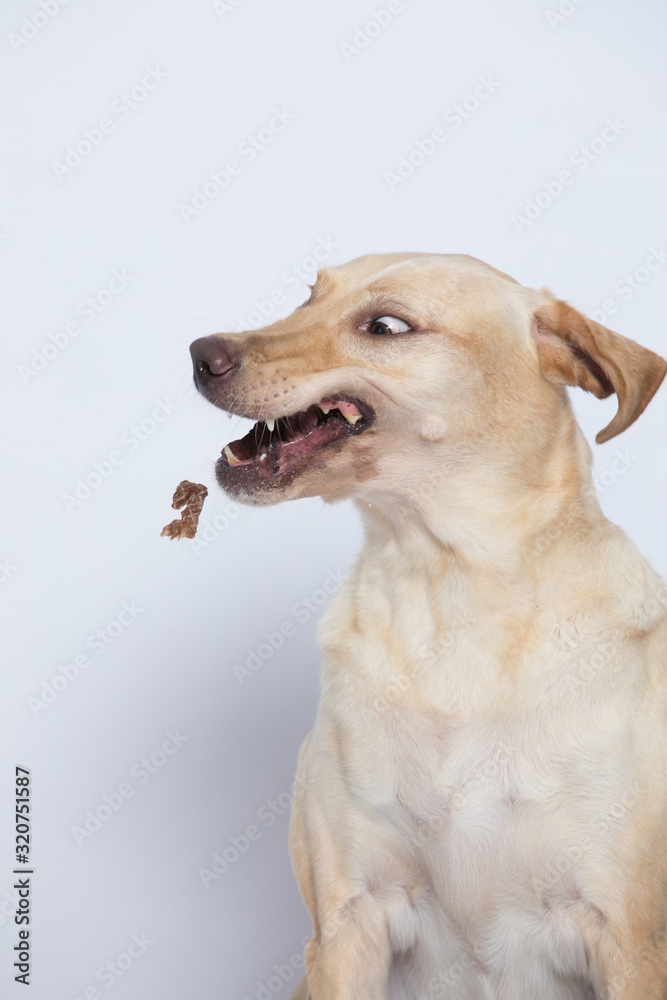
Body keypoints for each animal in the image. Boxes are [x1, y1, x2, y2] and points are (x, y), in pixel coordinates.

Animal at [189, 254, 667, 996]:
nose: (199, 354)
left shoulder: (629, 939)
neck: (446, 586)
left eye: (386, 326)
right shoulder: (348, 923)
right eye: (307, 297)